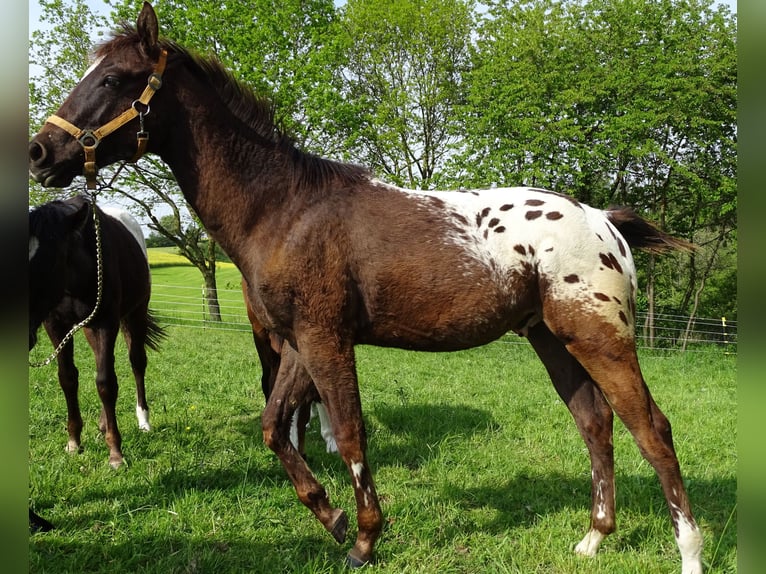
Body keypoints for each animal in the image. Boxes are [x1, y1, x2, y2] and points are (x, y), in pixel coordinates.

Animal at [29, 194, 165, 469]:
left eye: (48, 262)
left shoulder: (105, 322)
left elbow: (105, 382)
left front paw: (115, 452)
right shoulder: (56, 325)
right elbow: (68, 378)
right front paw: (74, 442)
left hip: (135, 313)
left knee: (137, 363)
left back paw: (143, 421)